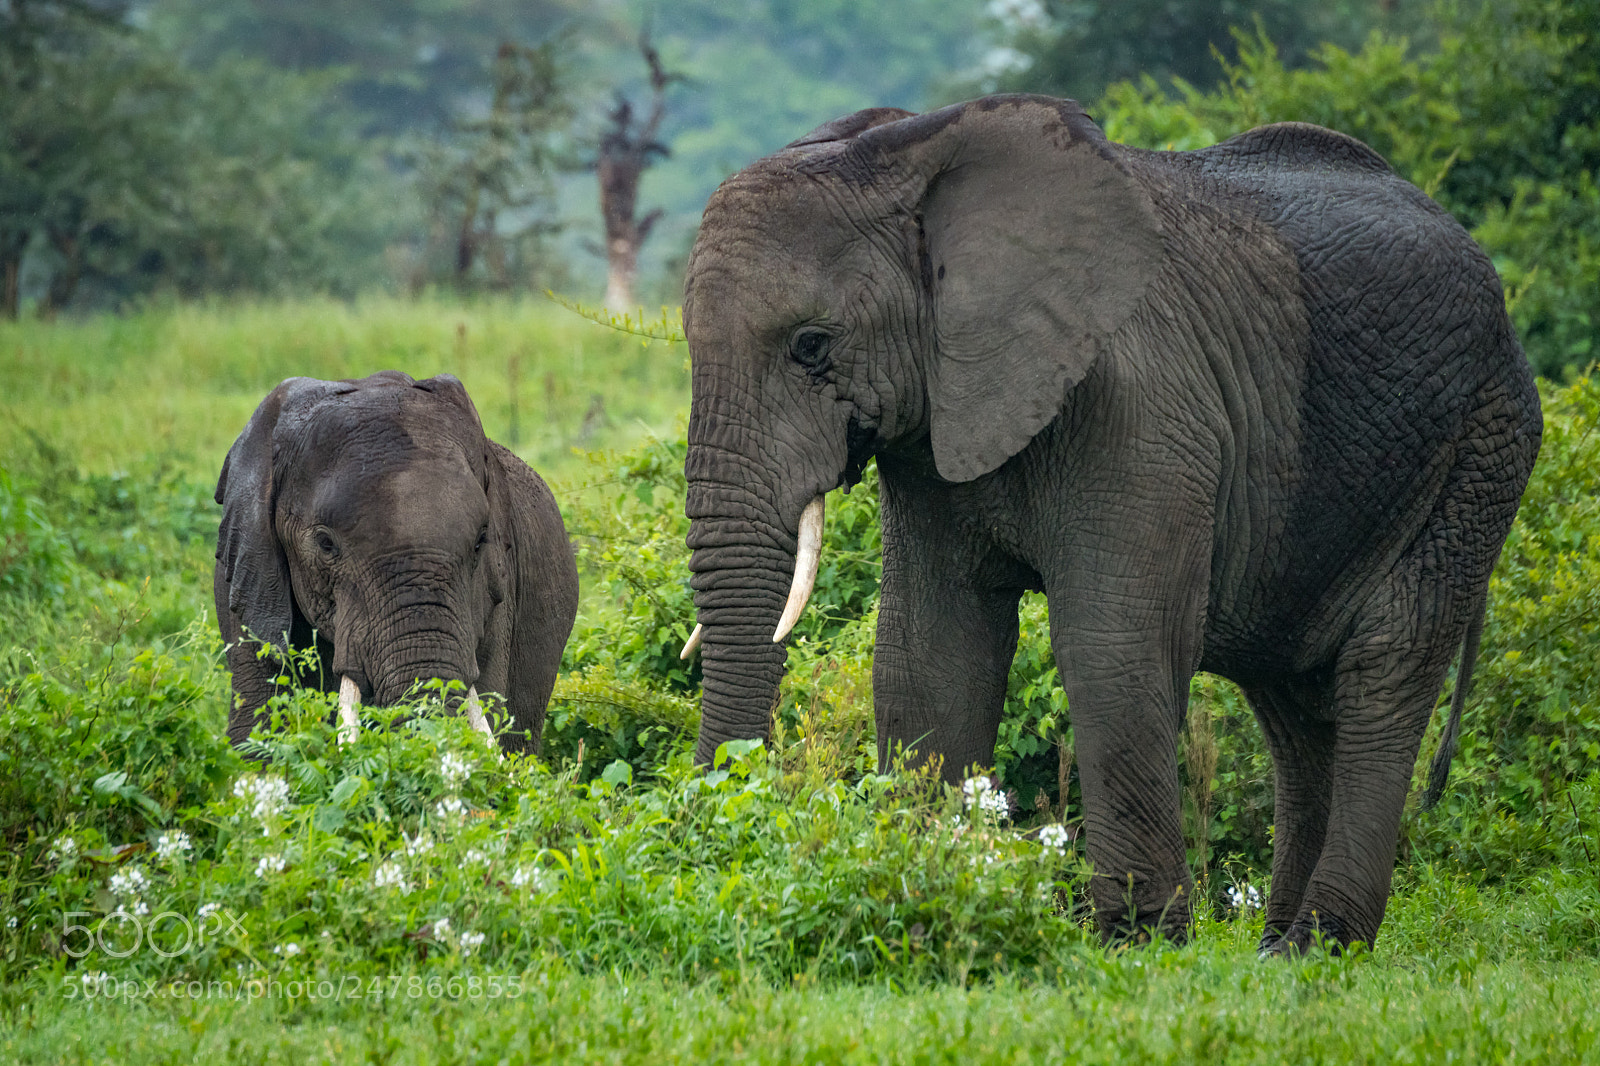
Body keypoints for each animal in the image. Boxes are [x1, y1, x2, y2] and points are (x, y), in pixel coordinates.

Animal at [677, 95, 1541, 954]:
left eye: (811, 345)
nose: (719, 825)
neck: (914, 149)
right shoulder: (933, 429)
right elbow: (930, 655)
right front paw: (923, 895)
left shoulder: (1142, 406)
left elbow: (1112, 645)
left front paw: (1136, 941)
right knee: (1293, 696)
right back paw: (1278, 955)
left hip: (1480, 446)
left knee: (1384, 666)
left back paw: (1322, 942)